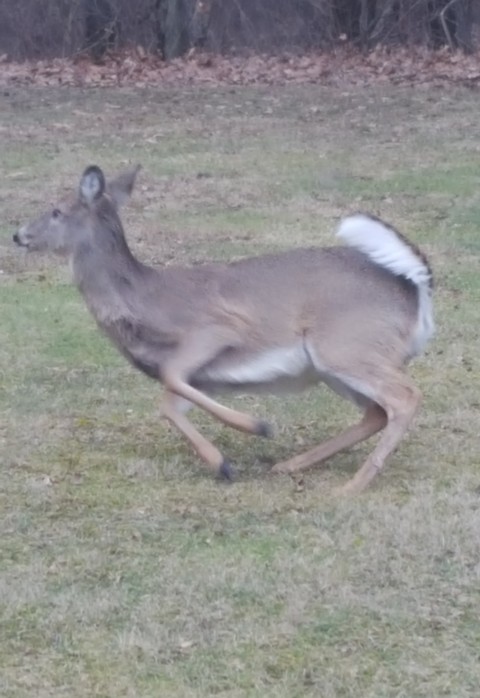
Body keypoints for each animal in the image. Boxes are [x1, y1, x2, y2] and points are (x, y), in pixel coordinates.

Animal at [13, 165, 434, 494]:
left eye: (56, 210)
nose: (18, 234)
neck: (143, 304)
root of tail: (414, 289)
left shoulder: (217, 329)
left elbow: (168, 386)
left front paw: (255, 428)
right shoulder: (200, 375)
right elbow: (170, 403)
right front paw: (224, 462)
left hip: (347, 346)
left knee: (405, 397)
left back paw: (351, 485)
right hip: (335, 365)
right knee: (376, 412)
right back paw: (290, 465)